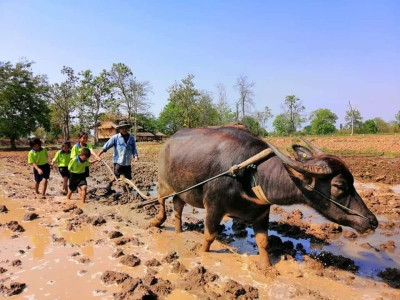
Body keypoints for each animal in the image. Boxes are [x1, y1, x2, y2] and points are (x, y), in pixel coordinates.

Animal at [151, 127, 378, 268]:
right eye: (340, 185)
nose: (373, 221)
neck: (251, 174)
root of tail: (168, 142)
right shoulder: (213, 208)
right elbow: (209, 236)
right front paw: (203, 253)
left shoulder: (261, 214)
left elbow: (263, 243)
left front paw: (267, 267)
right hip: (163, 183)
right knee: (162, 202)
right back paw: (156, 221)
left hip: (181, 191)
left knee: (178, 207)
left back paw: (179, 231)